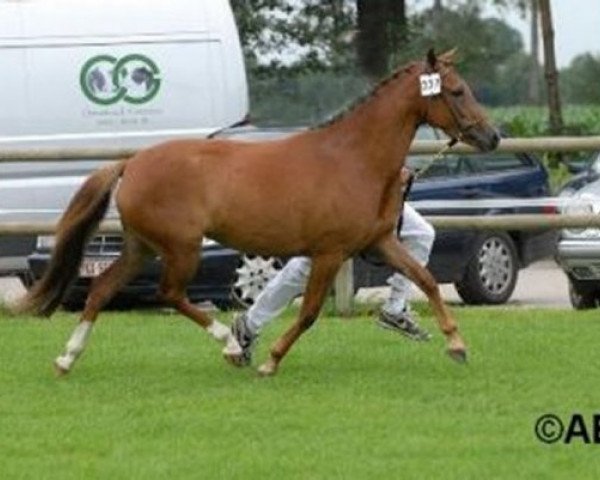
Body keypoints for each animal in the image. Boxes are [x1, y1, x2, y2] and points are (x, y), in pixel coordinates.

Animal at [16, 50, 500, 376]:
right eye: (457, 91)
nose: (492, 136)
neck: (353, 158)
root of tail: (132, 163)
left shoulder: (379, 242)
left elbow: (426, 281)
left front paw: (457, 345)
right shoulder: (329, 253)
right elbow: (308, 313)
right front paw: (270, 361)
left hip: (141, 247)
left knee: (100, 290)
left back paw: (66, 358)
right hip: (181, 248)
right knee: (169, 294)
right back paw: (231, 344)